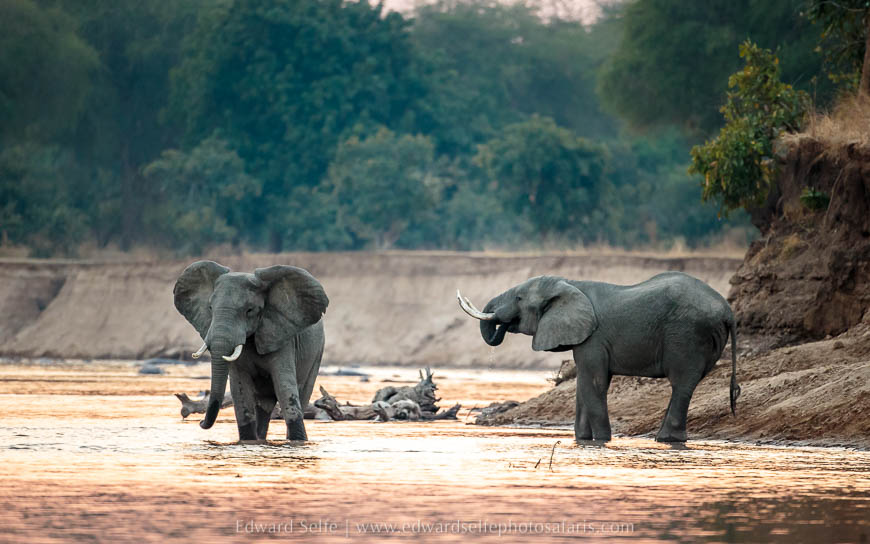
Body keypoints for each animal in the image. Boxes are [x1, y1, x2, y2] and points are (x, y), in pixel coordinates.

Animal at [174, 260, 328, 441]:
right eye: (210, 308)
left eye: (249, 310)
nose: (200, 423)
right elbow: (240, 390)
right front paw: (248, 441)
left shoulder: (282, 337)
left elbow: (284, 388)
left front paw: (297, 440)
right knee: (263, 406)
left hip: (317, 353)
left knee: (301, 394)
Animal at [457, 272, 740, 443]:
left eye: (518, 297)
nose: (503, 324)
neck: (570, 284)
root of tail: (729, 311)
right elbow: (583, 387)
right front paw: (583, 440)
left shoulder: (593, 338)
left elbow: (593, 383)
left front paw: (602, 440)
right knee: (686, 385)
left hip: (688, 335)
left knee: (681, 383)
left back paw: (667, 439)